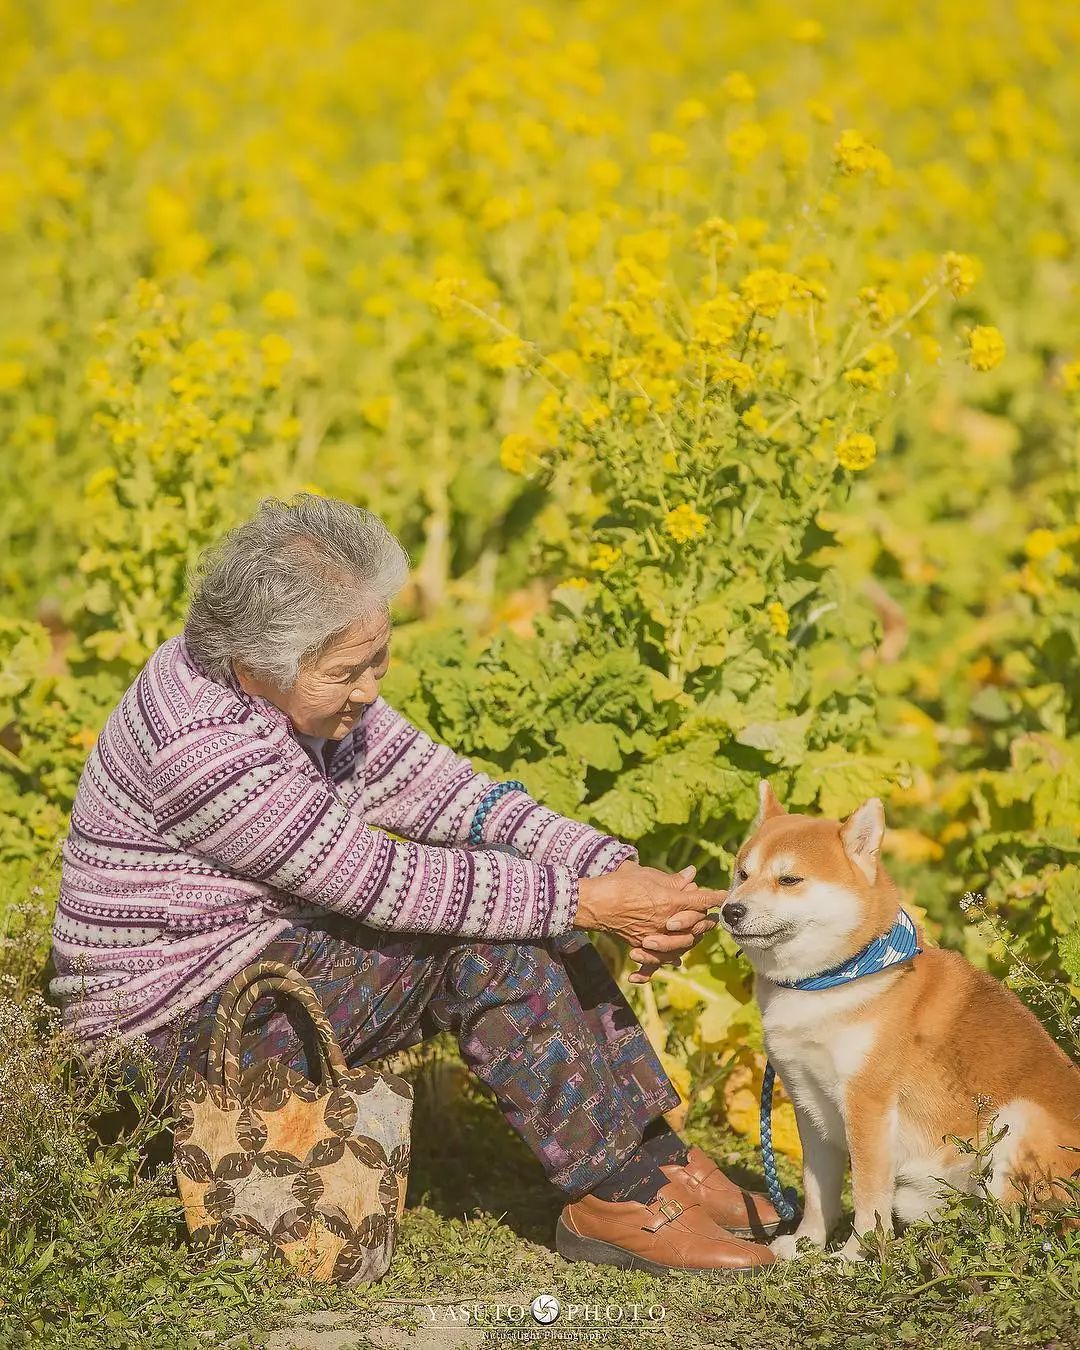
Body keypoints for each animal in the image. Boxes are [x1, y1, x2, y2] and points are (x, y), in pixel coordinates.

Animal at [723, 788, 1080, 1258]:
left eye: (790, 880)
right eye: (742, 874)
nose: (730, 910)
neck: (833, 980)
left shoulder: (868, 1104)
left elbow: (868, 1195)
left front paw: (856, 1255)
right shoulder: (807, 1102)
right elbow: (818, 1191)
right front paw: (806, 1243)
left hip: (1018, 1120)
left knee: (1025, 1227)